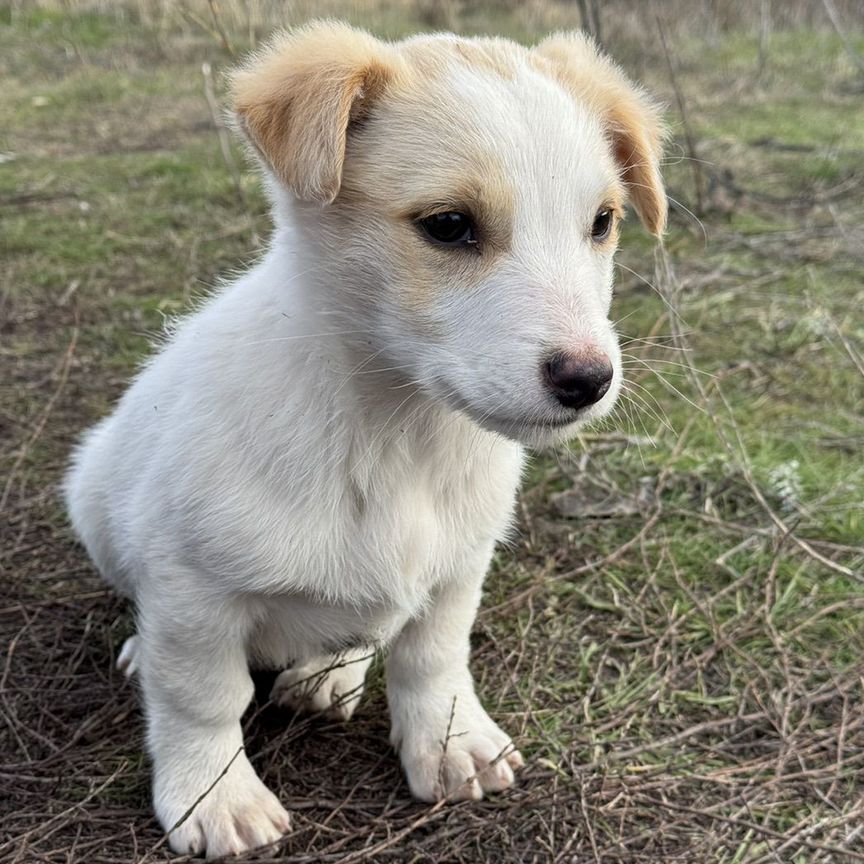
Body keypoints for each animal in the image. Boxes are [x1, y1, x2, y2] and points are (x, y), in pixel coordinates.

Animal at [66, 23, 668, 860]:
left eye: (603, 222)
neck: (401, 438)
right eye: (449, 225)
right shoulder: (193, 590)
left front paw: (449, 741)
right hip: (92, 496)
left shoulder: (458, 566)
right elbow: (201, 698)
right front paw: (213, 795)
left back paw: (329, 671)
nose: (589, 379)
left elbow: (433, 659)